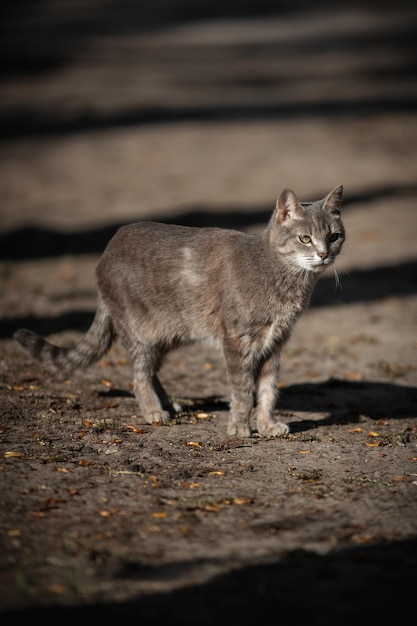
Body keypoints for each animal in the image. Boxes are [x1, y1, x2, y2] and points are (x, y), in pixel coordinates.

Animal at [13, 185, 344, 436]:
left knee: (152, 372)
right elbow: (242, 389)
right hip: (141, 332)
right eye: (305, 238)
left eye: (333, 236)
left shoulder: (275, 344)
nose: (323, 254)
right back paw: (153, 411)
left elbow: (267, 390)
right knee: (139, 376)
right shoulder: (237, 341)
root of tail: (106, 251)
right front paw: (239, 427)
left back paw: (168, 404)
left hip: (169, 335)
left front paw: (267, 425)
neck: (285, 281)